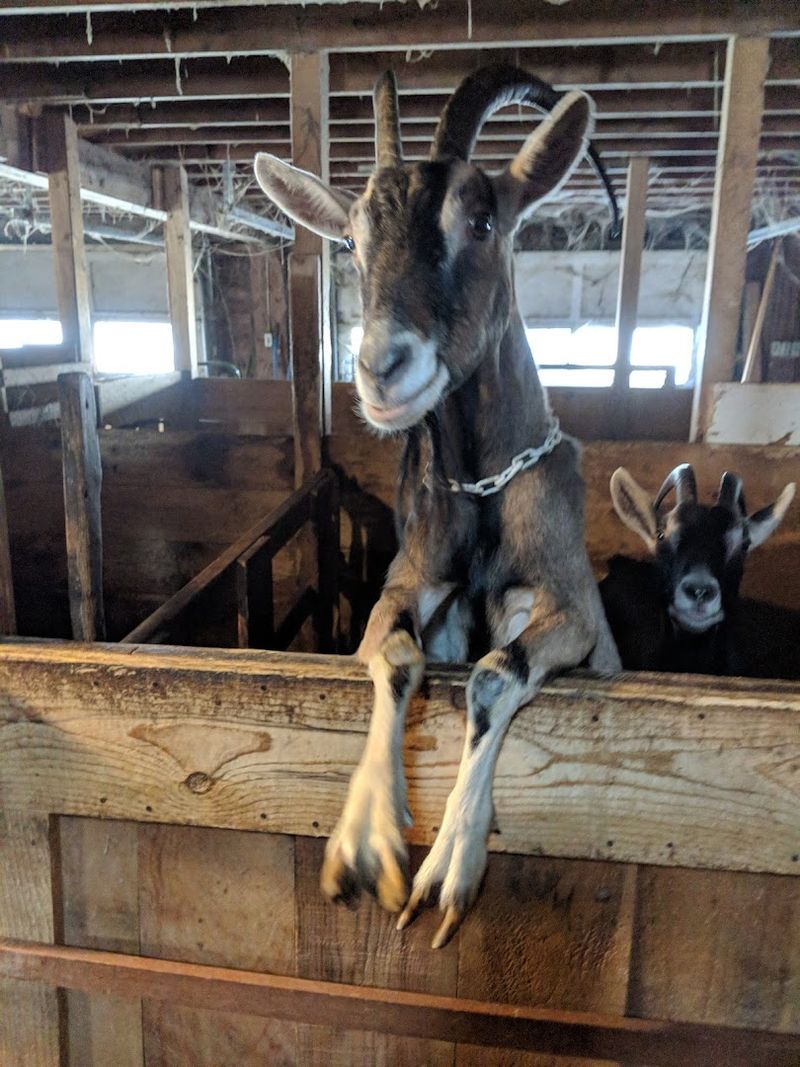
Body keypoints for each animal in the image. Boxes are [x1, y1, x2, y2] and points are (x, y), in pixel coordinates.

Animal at [255, 65, 621, 947]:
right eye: (352, 239)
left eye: (481, 219)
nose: (383, 369)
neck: (484, 500)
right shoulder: (409, 580)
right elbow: (392, 649)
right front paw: (367, 840)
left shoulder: (571, 609)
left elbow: (493, 673)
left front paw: (449, 863)